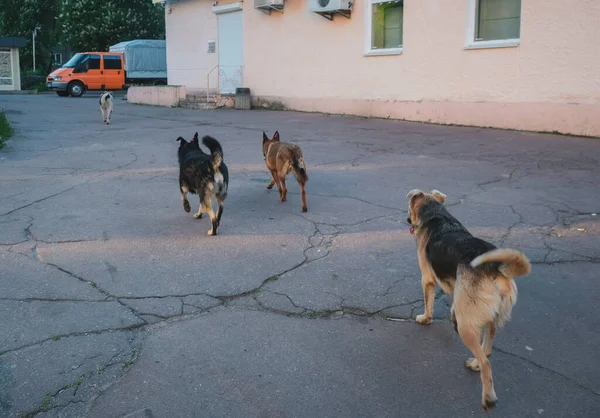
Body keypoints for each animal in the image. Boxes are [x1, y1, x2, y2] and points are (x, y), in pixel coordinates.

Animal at [406, 189, 532, 412]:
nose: (406, 220)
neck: (436, 214)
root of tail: (494, 267)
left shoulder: (427, 279)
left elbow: (428, 302)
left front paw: (425, 319)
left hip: (463, 323)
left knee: (486, 363)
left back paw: (488, 398)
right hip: (488, 318)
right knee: (487, 350)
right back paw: (475, 364)